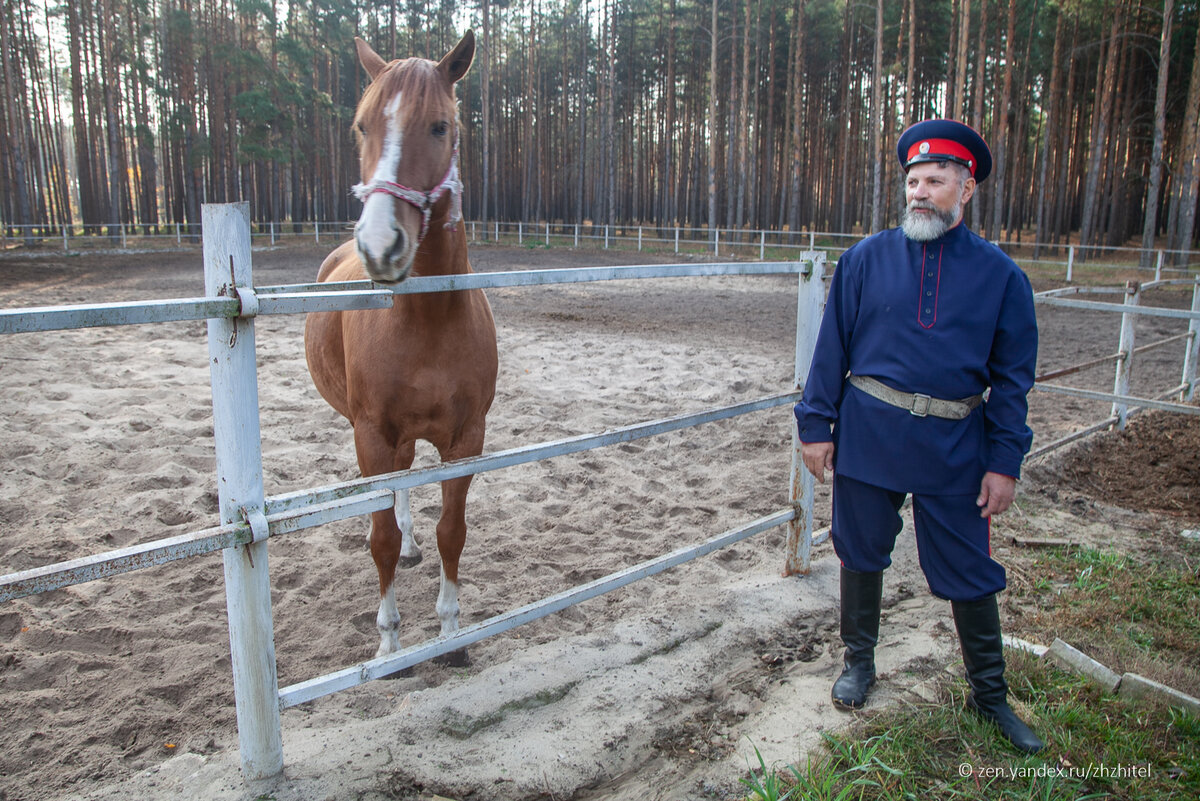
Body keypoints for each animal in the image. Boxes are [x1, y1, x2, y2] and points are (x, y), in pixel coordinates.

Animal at [309, 31, 501, 661]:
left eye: (440, 127)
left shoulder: (466, 440)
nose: (380, 245)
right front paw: (390, 645)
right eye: (361, 125)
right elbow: (381, 539)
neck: (426, 320)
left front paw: (451, 634)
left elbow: (451, 531)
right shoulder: (371, 434)